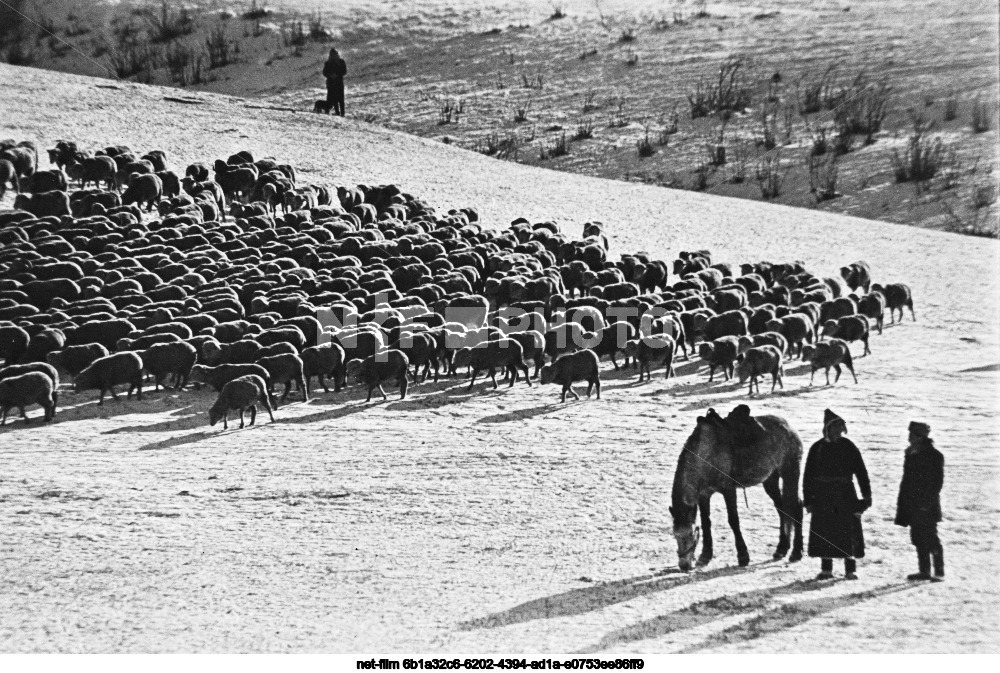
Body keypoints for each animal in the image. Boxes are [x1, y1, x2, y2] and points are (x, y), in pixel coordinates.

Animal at [672, 406, 804, 568]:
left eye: (690, 534)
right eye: (675, 535)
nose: (684, 565)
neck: (706, 453)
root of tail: (789, 428)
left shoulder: (728, 490)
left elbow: (733, 520)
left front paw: (743, 556)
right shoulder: (704, 495)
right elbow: (706, 522)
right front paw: (705, 555)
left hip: (790, 473)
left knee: (796, 508)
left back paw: (796, 552)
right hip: (770, 480)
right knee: (782, 509)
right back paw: (781, 549)